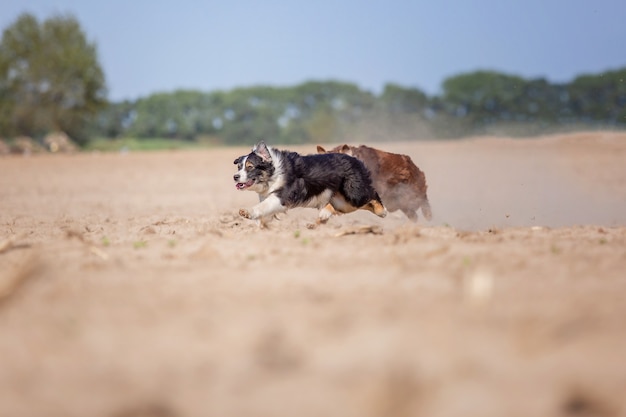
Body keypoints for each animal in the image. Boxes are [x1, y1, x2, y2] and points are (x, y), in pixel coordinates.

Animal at [233, 141, 386, 226]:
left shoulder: (282, 196)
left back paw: (382, 211)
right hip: (342, 202)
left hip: (353, 194)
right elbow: (265, 212)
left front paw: (247, 212)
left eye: (250, 167)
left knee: (372, 194)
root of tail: (353, 158)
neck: (274, 174)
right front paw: (260, 226)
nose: (235, 177)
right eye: (239, 166)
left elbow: (263, 206)